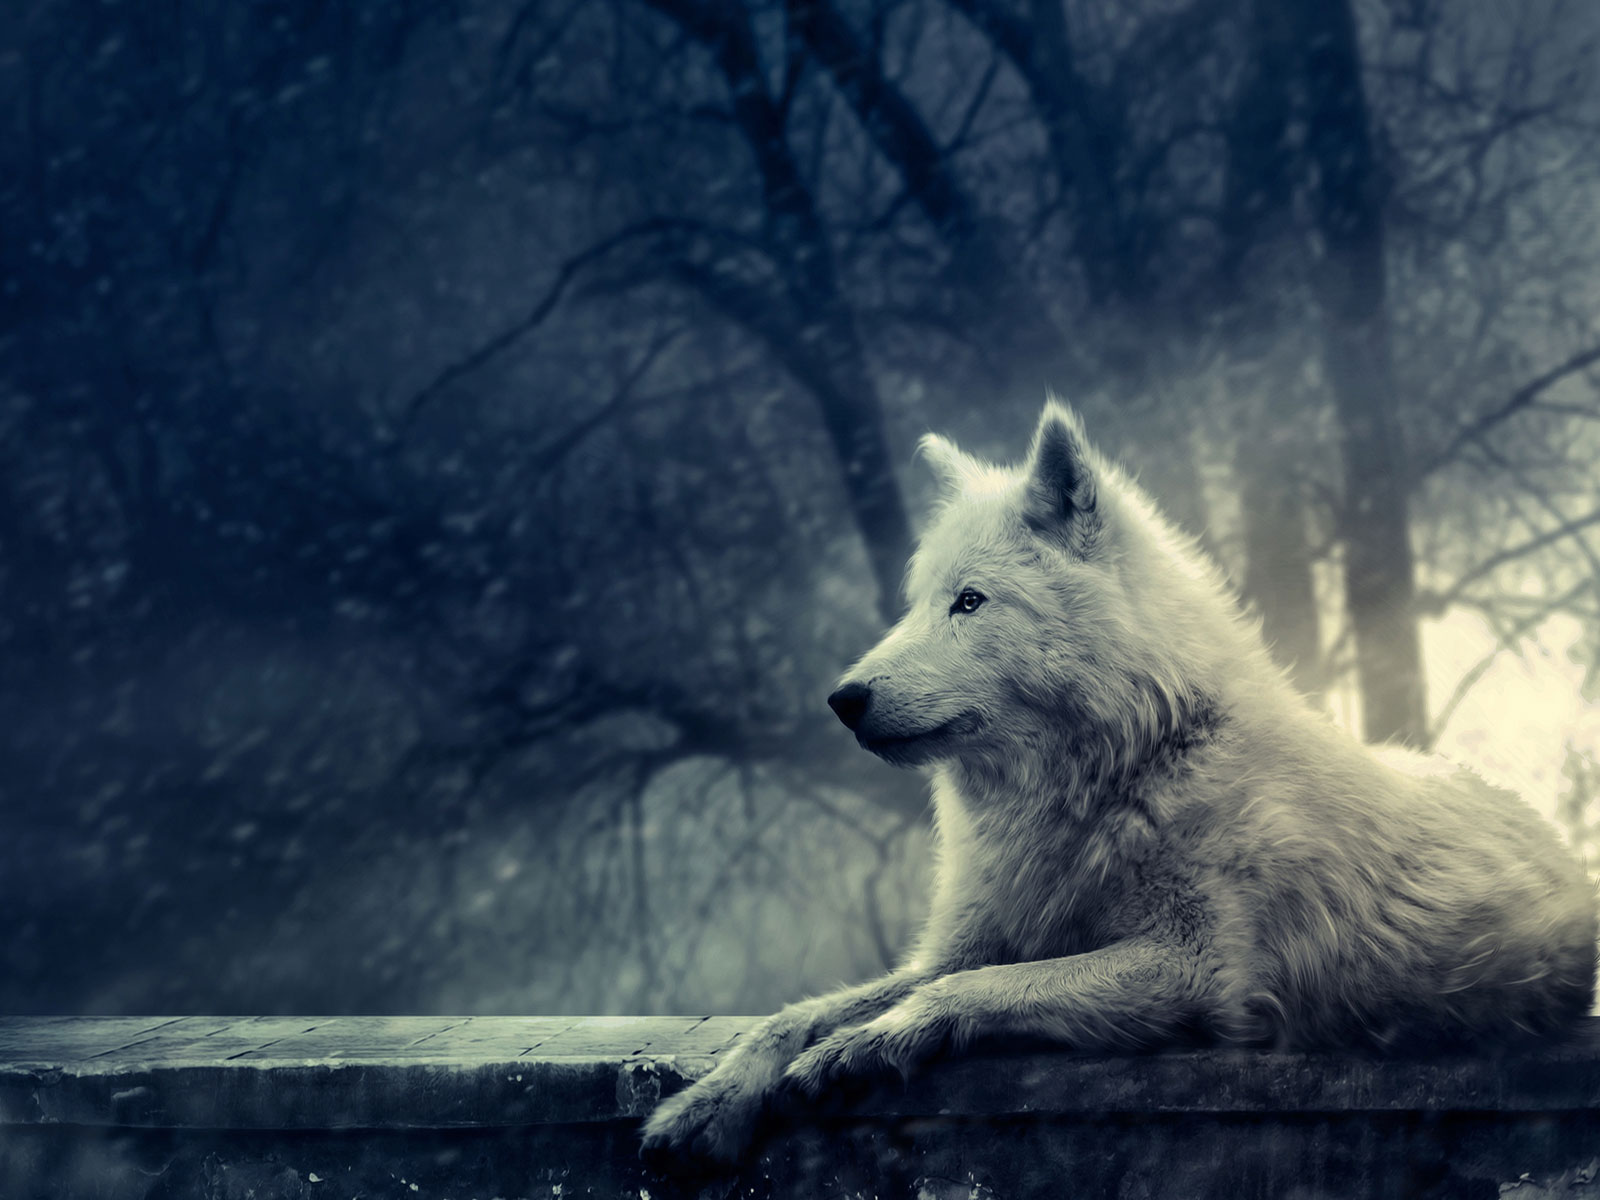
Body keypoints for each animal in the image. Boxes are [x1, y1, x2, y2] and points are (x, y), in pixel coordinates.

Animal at [641, 401, 1597, 1163]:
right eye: (917, 604)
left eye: (970, 602)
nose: (844, 699)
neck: (1124, 769)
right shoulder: (966, 941)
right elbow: (799, 1013)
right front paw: (708, 1103)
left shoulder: (1198, 970)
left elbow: (972, 990)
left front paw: (869, 1045)